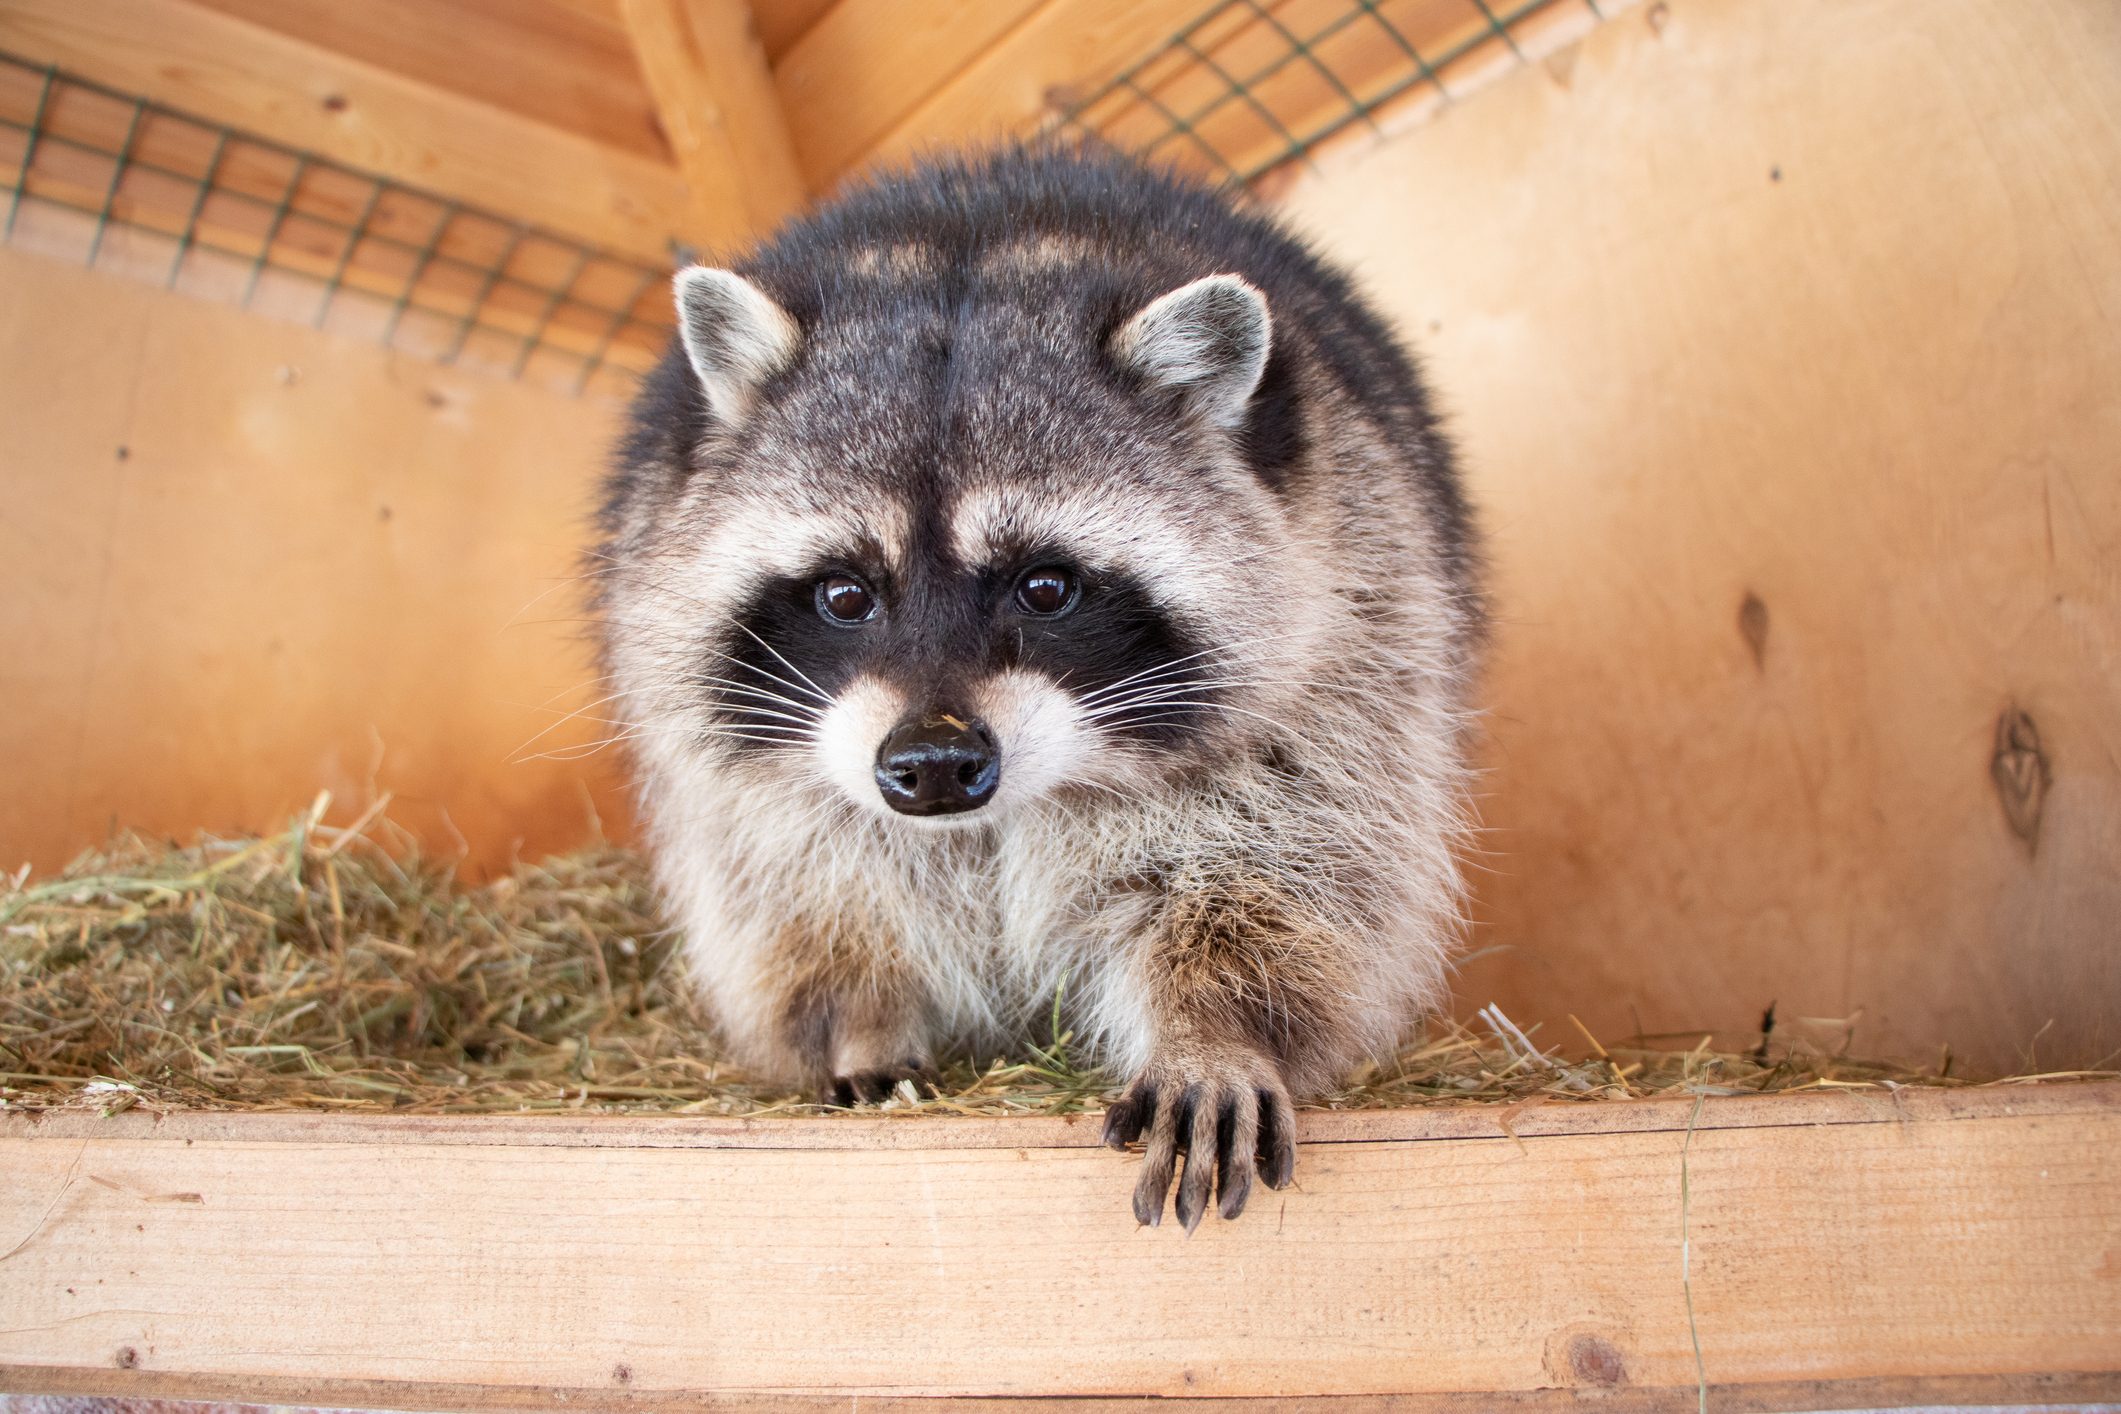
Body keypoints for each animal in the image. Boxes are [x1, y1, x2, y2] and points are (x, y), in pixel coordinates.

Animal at [598, 146, 1481, 1229]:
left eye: (1046, 586)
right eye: (845, 594)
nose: (934, 764)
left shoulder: (1358, 634)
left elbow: (1291, 861)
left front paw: (1216, 1026)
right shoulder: (732, 750)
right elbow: (797, 883)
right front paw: (861, 1013)